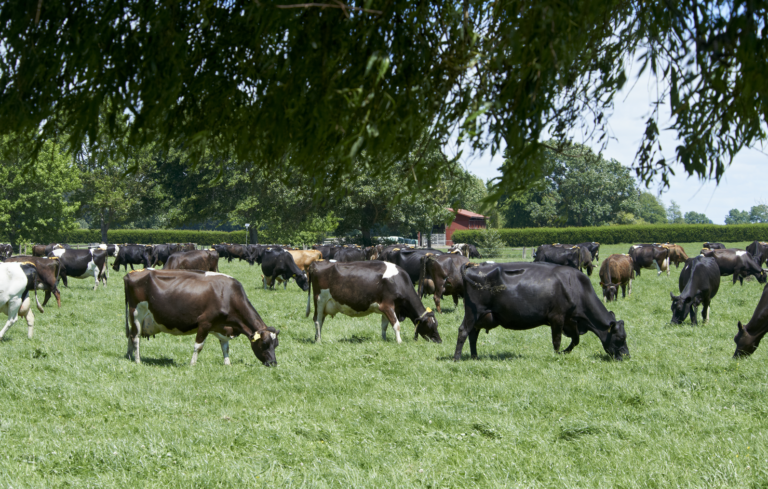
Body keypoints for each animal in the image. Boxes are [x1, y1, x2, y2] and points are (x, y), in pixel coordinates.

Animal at [304, 260, 440, 344]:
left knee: (321, 321)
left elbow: (384, 326)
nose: (439, 341)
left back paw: (317, 338)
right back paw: (319, 341)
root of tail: (316, 263)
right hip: (320, 300)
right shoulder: (387, 306)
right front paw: (399, 342)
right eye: (430, 325)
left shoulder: (386, 309)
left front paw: (384, 340)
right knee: (317, 320)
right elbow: (396, 325)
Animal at [452, 262, 628, 360]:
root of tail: (473, 266)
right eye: (620, 338)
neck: (577, 287)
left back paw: (475, 357)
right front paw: (557, 356)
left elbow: (576, 339)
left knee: (473, 335)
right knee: (463, 331)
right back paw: (457, 358)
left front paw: (564, 352)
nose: (627, 356)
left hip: (481, 317)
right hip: (473, 312)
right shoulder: (557, 318)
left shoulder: (570, 321)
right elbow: (557, 340)